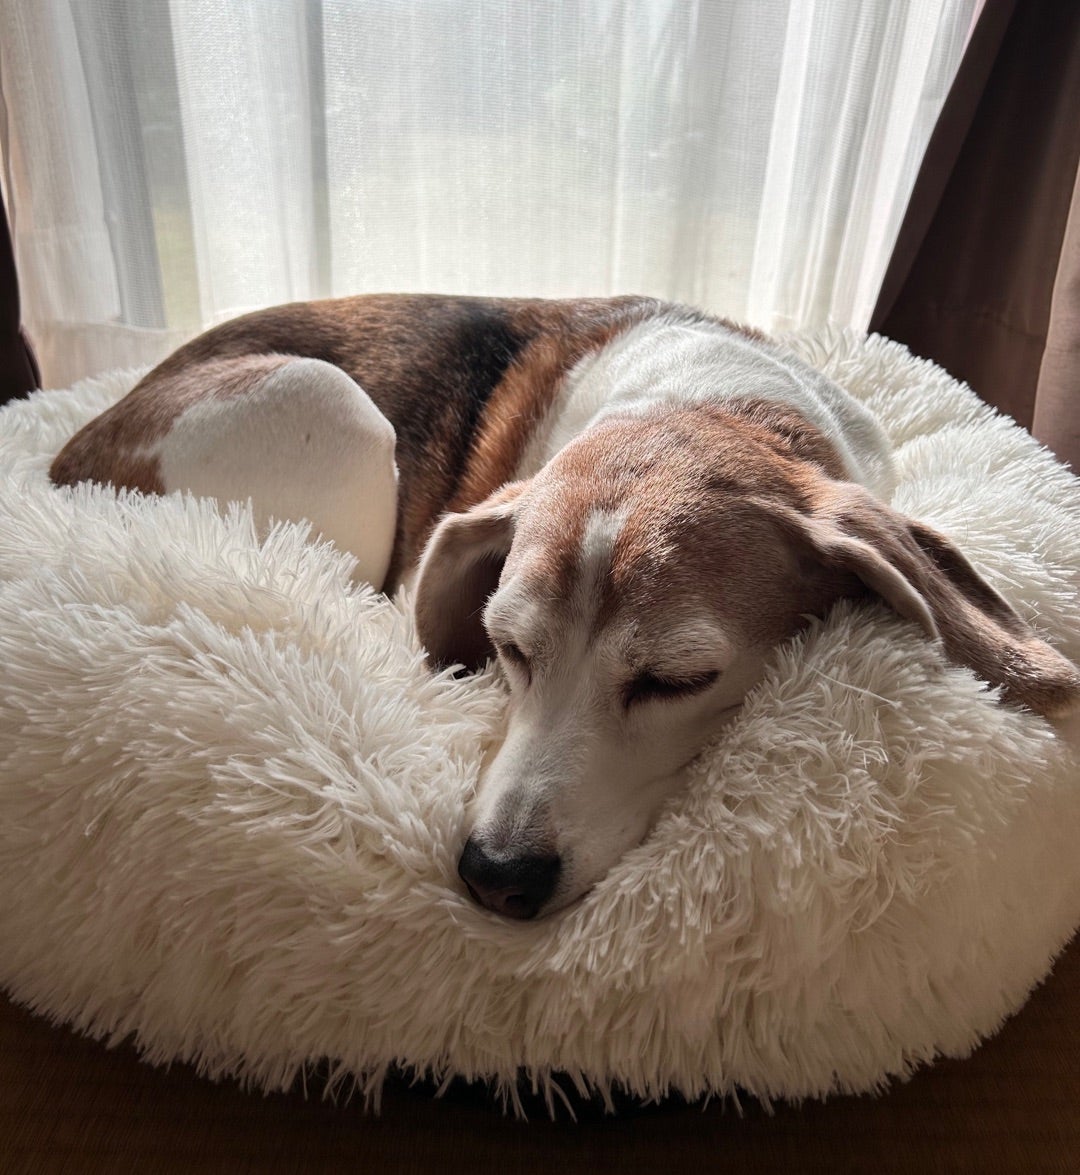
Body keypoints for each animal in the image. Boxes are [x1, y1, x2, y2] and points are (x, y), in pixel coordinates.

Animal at [50, 293, 1080, 916]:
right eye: (508, 648)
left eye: (679, 679)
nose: (495, 875)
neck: (708, 405)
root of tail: (63, 462)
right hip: (327, 400)